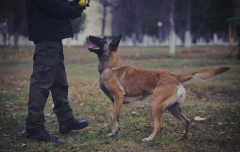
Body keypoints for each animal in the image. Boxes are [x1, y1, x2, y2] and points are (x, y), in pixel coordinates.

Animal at [87, 34, 229, 141]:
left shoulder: (118, 97)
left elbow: (112, 116)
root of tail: (175, 76)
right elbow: (116, 117)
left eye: (103, 39)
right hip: (173, 107)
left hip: (155, 104)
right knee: (186, 120)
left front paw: (114, 131)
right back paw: (184, 135)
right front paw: (114, 132)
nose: (89, 36)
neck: (111, 67)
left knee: (159, 125)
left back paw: (149, 139)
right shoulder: (116, 102)